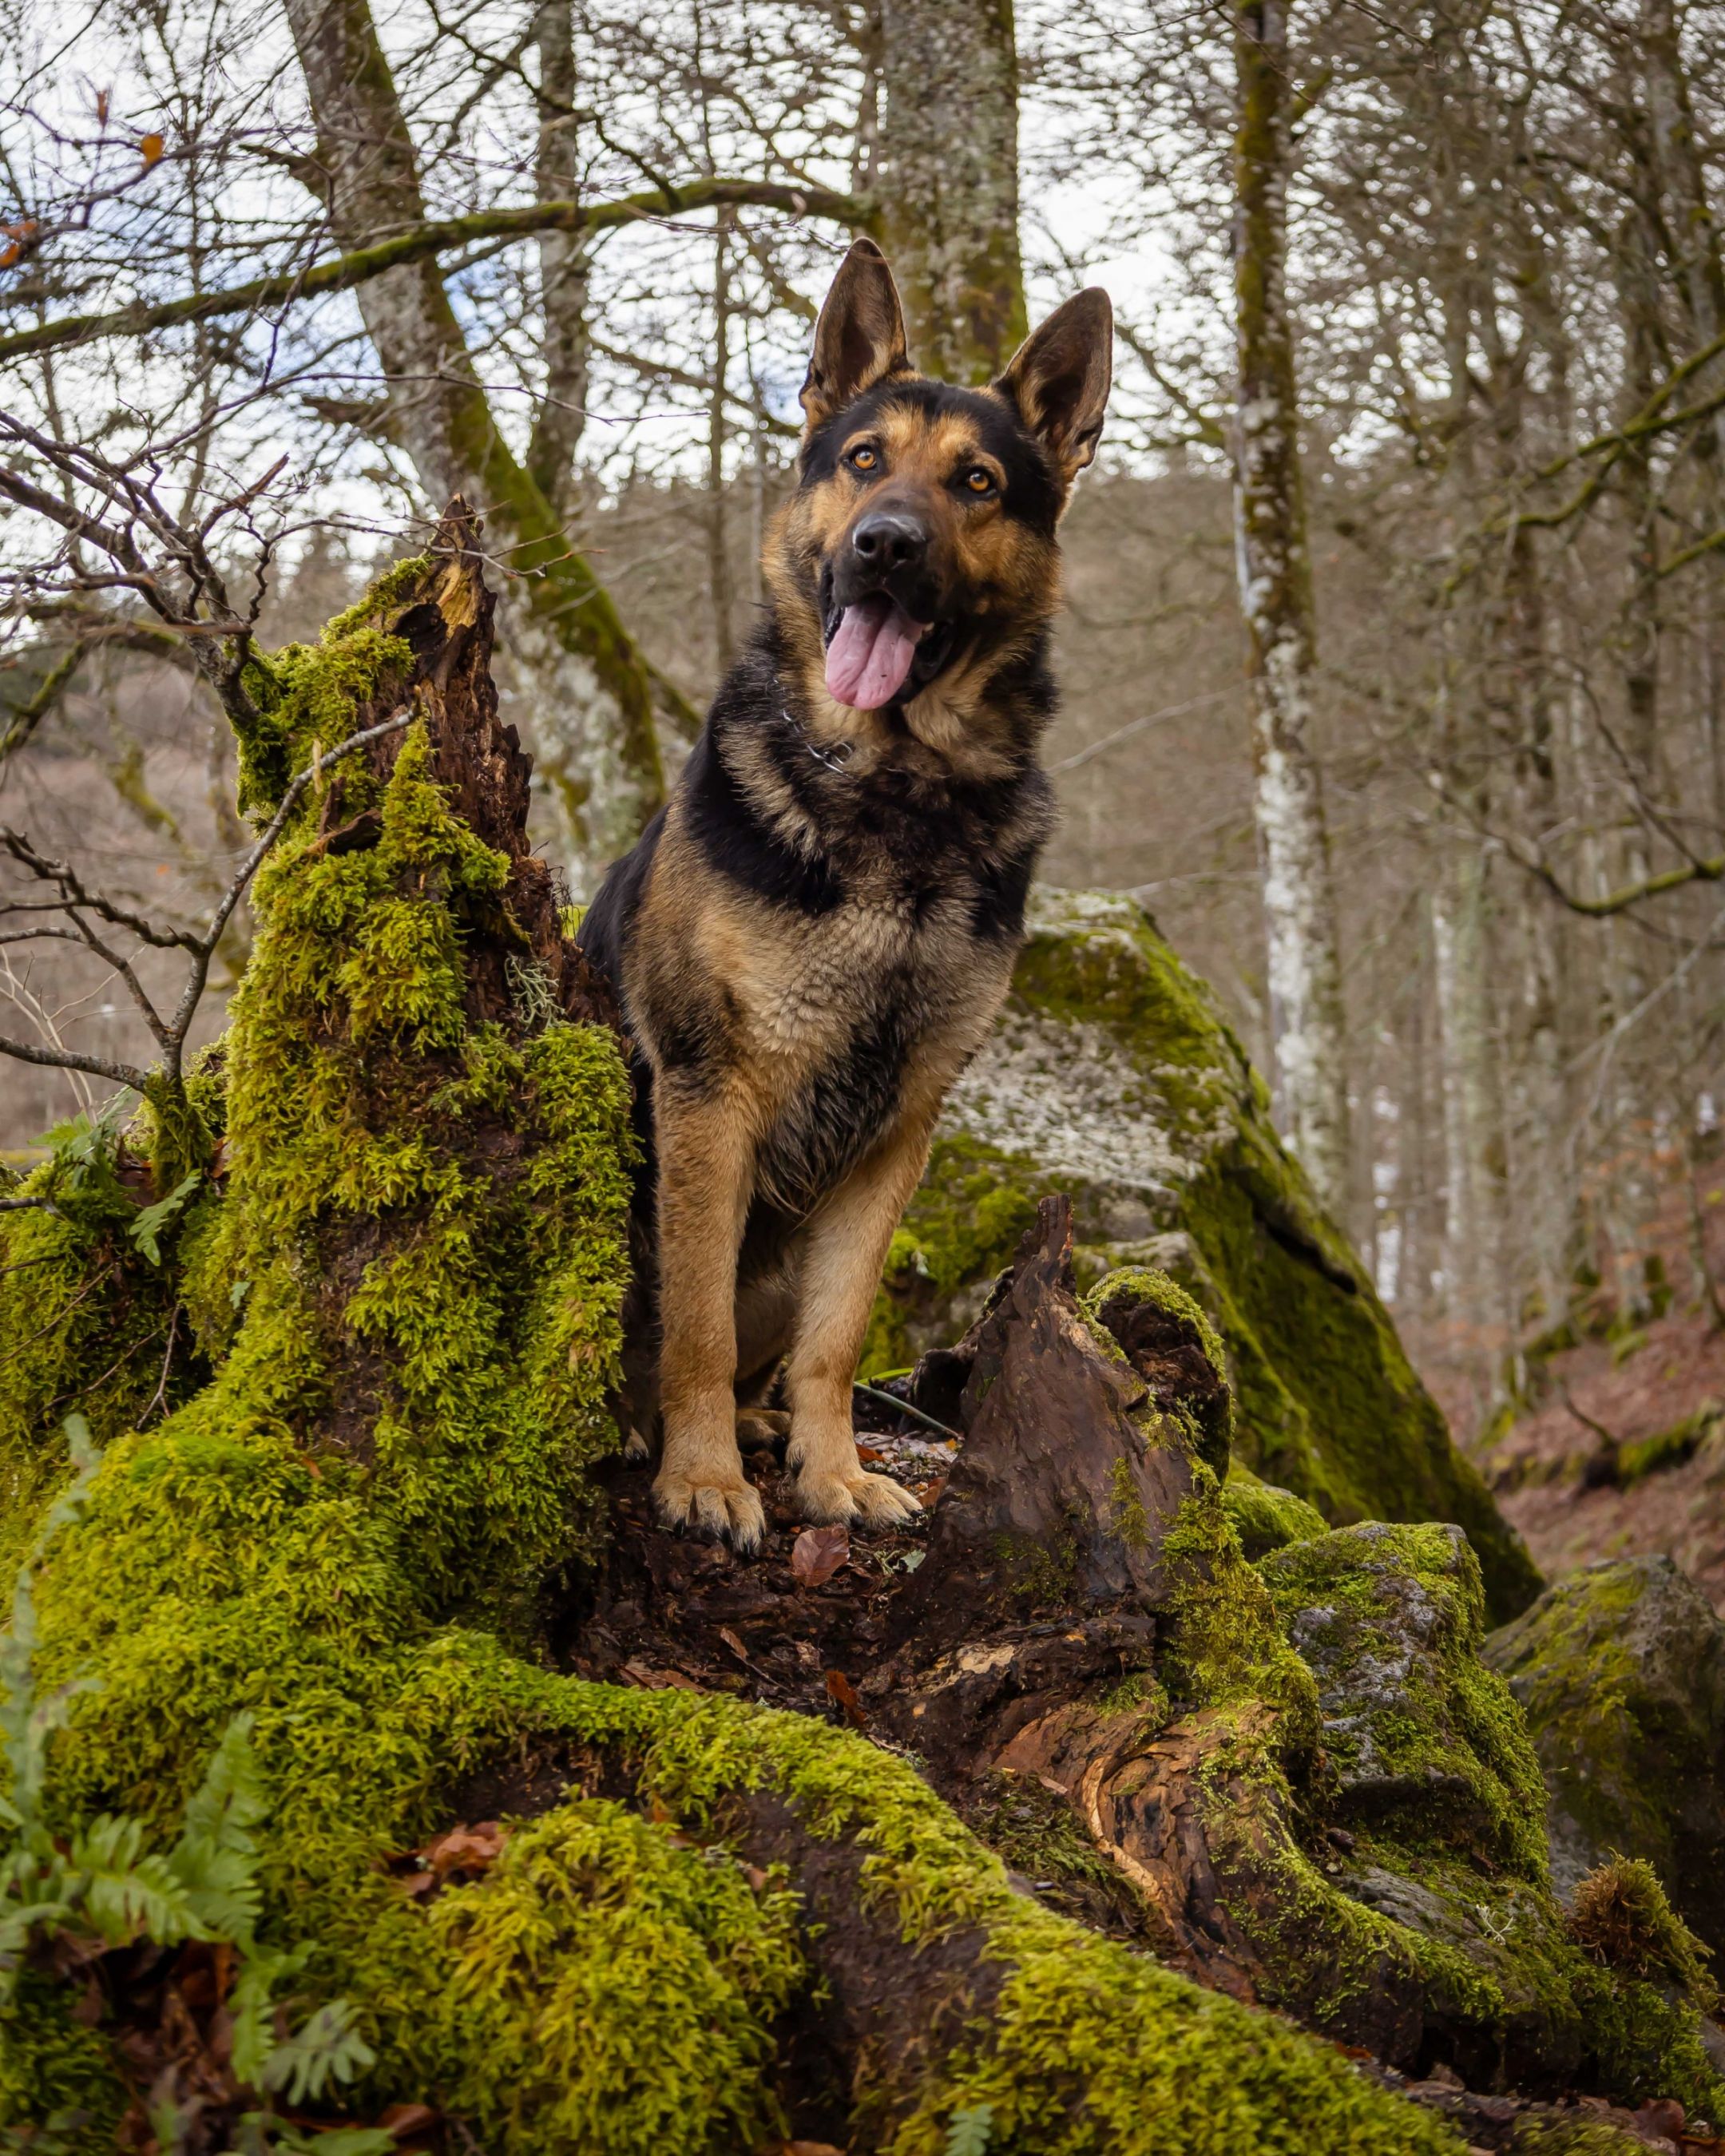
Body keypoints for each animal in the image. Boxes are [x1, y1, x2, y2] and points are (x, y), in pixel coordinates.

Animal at [577, 236, 1112, 1552]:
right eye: (865, 460)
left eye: (976, 482)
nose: (885, 545)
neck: (895, 794)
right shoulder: (709, 1096)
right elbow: (697, 1327)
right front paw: (705, 1482)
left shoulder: (899, 1130)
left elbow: (838, 1335)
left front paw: (828, 1473)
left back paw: (766, 1427)